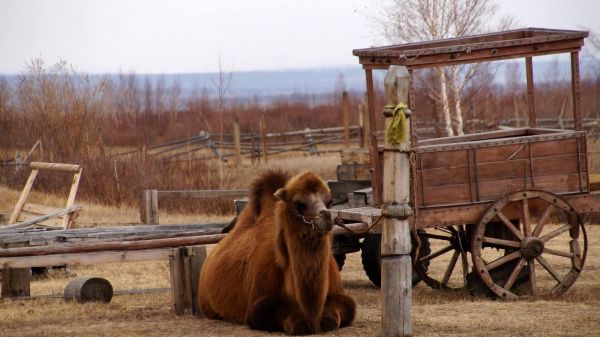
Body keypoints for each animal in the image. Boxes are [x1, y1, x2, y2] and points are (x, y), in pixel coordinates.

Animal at [197, 171, 356, 334]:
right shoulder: (257, 304)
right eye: (299, 204)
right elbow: (276, 314)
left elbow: (341, 313)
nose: (326, 216)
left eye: (329, 202)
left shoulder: (339, 295)